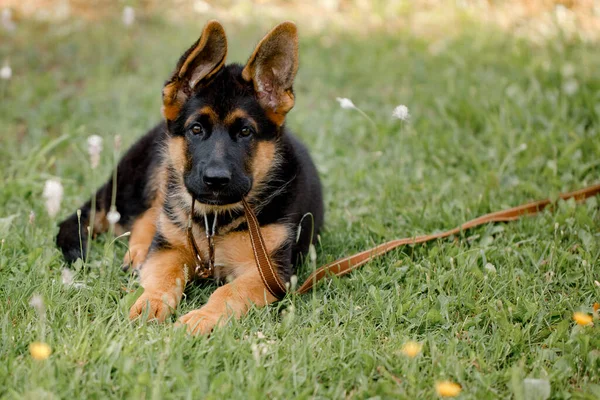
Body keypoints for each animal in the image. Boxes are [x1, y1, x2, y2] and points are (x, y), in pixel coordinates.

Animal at [57, 21, 324, 334]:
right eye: (196, 129)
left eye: (245, 132)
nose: (216, 179)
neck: (214, 221)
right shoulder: (170, 250)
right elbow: (163, 275)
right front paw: (151, 301)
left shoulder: (270, 272)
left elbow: (229, 292)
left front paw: (203, 317)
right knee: (148, 215)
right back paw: (139, 253)